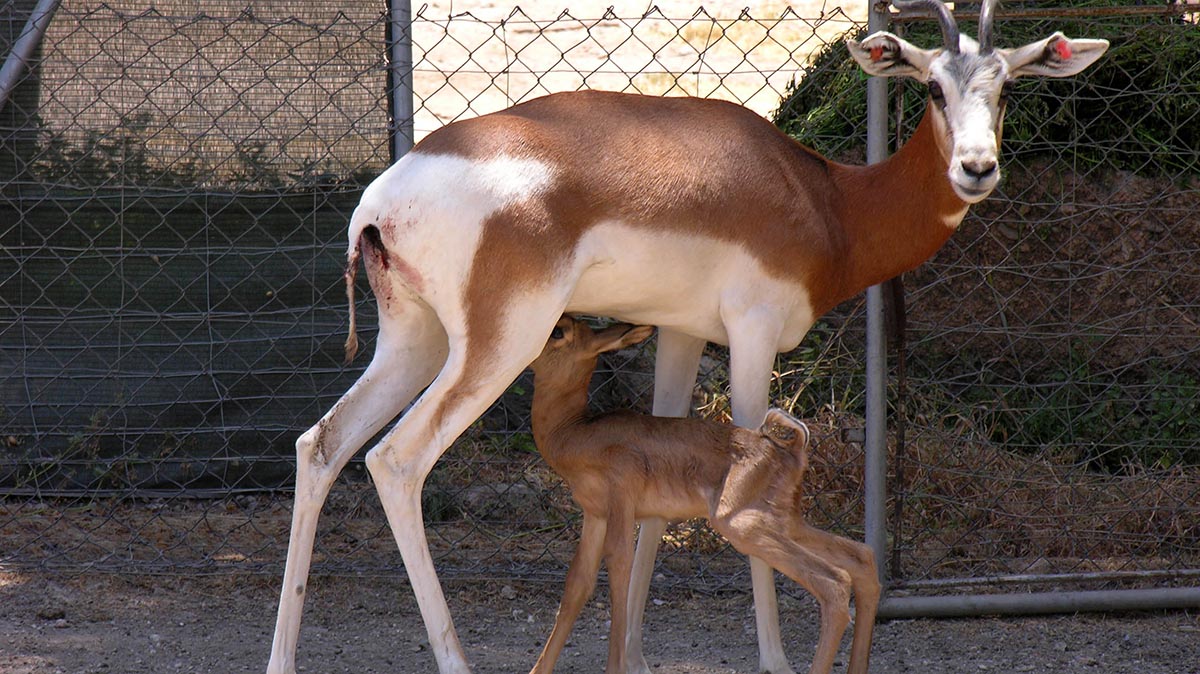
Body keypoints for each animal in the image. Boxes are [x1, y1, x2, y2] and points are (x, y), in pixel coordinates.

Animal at [530, 314, 878, 671]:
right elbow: (578, 583)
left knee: (834, 582)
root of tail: (790, 450)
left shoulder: (621, 501)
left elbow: (619, 567)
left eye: (558, 332)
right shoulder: (594, 513)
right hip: (782, 520)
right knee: (861, 557)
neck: (574, 434)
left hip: (741, 524)